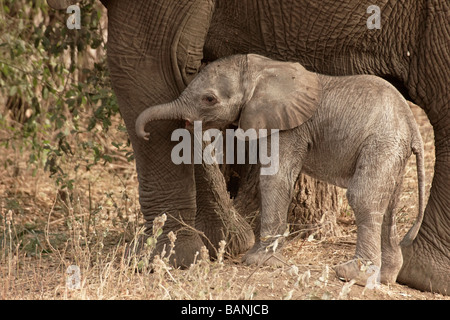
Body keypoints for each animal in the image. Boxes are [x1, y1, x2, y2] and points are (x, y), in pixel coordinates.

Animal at [136, 53, 426, 284]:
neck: (261, 70)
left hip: (382, 142)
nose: (145, 134)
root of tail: (413, 127)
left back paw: (352, 275)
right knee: (388, 205)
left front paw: (256, 262)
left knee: (363, 197)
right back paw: (386, 278)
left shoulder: (289, 128)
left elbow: (275, 179)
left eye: (209, 99)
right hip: (392, 150)